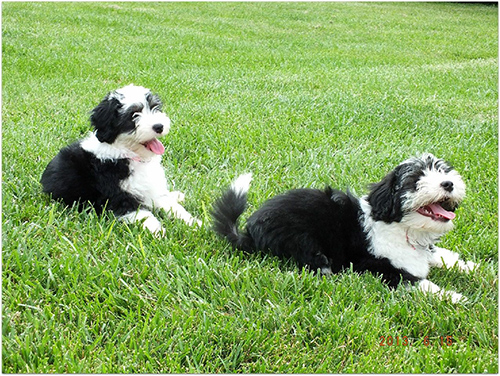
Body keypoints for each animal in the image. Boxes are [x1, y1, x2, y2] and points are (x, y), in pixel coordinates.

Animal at [41, 84, 200, 235]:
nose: (159, 126)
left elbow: (172, 206)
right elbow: (143, 215)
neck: (127, 153)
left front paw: (194, 223)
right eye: (133, 115)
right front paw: (158, 231)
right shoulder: (117, 198)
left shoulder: (150, 187)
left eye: (154, 108)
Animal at [211, 154, 476, 304]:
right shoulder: (379, 266)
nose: (449, 184)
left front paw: (472, 268)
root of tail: (249, 231)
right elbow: (415, 282)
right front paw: (455, 296)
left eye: (443, 171)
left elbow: (440, 255)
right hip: (301, 238)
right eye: (415, 180)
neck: (404, 227)